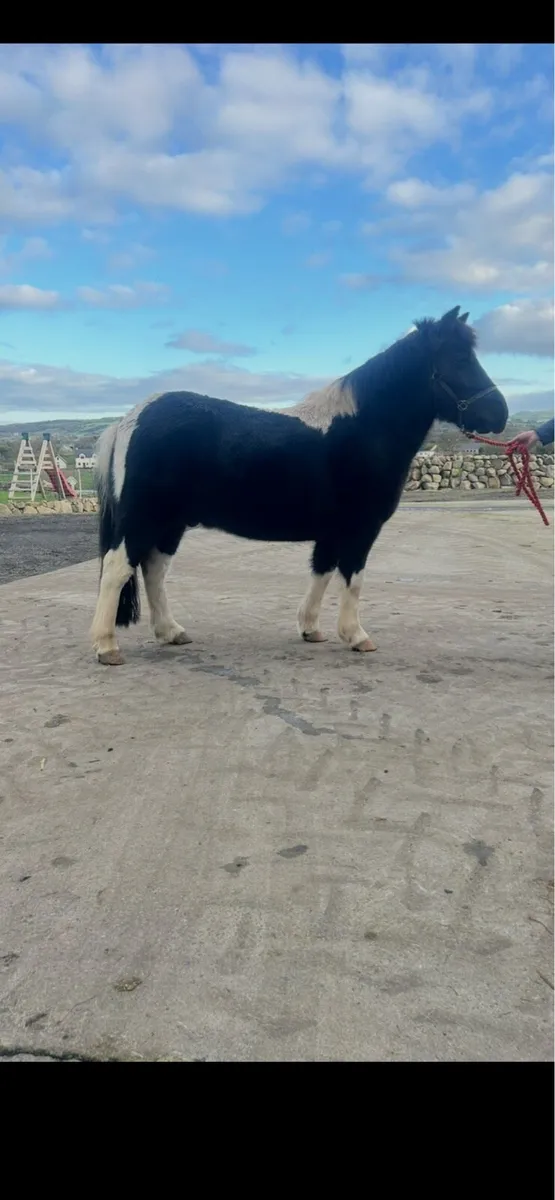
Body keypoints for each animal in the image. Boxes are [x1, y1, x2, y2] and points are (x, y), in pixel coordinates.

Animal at [91, 306, 508, 665]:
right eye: (460, 359)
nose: (500, 414)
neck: (364, 428)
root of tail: (130, 419)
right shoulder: (361, 529)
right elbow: (353, 579)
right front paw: (356, 636)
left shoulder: (332, 531)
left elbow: (321, 571)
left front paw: (310, 629)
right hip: (143, 518)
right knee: (117, 568)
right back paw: (107, 646)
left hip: (171, 523)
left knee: (154, 570)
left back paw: (171, 631)